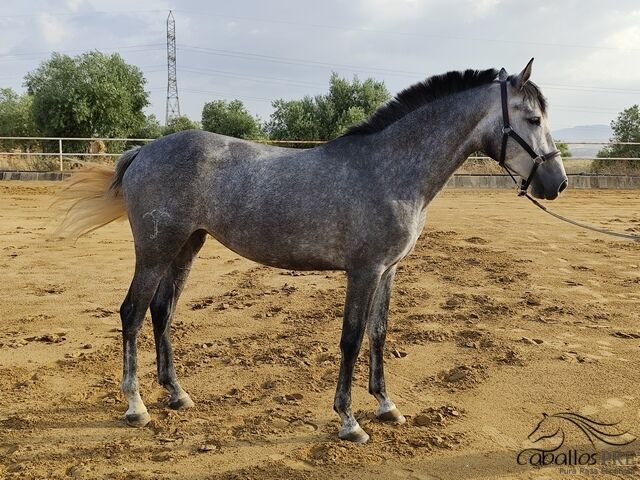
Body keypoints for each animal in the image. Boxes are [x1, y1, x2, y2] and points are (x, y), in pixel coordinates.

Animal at [55, 59, 564, 442]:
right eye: (534, 119)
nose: (555, 183)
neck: (390, 168)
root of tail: (143, 151)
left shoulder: (388, 271)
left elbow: (379, 334)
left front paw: (386, 406)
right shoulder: (364, 270)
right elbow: (351, 339)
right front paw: (350, 421)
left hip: (186, 247)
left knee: (163, 312)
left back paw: (177, 395)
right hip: (155, 251)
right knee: (133, 313)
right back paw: (136, 406)